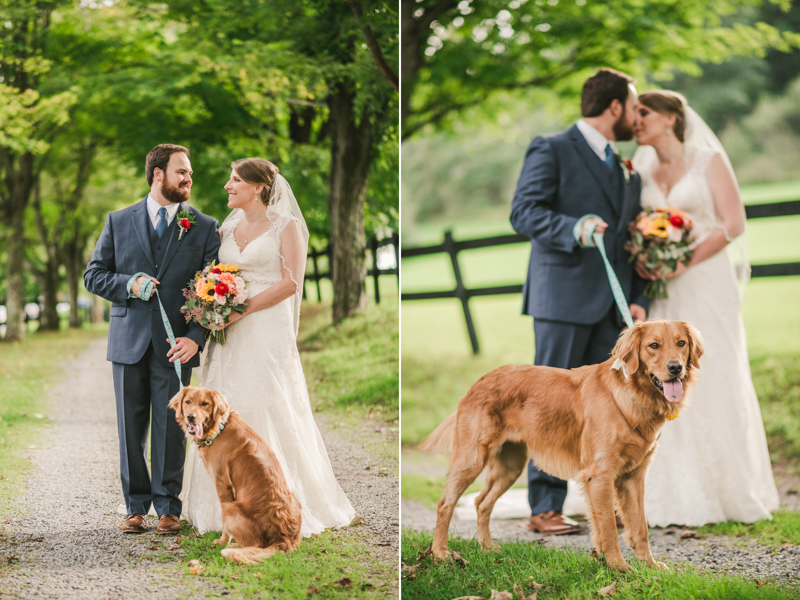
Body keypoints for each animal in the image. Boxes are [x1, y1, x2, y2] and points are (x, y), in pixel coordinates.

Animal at [170, 386, 304, 564]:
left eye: (205, 403)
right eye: (187, 401)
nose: (190, 417)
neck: (219, 429)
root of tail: (284, 539)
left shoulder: (222, 483)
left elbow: (224, 525)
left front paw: (222, 541)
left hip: (231, 508)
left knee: (257, 544)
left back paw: (234, 546)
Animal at [418, 318, 708, 572]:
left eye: (681, 343)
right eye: (653, 345)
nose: (675, 368)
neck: (629, 397)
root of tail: (479, 381)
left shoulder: (633, 477)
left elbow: (640, 527)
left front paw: (649, 566)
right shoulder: (599, 475)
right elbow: (609, 528)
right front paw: (619, 567)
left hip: (510, 467)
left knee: (481, 502)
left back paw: (487, 548)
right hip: (472, 459)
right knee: (445, 504)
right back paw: (440, 554)